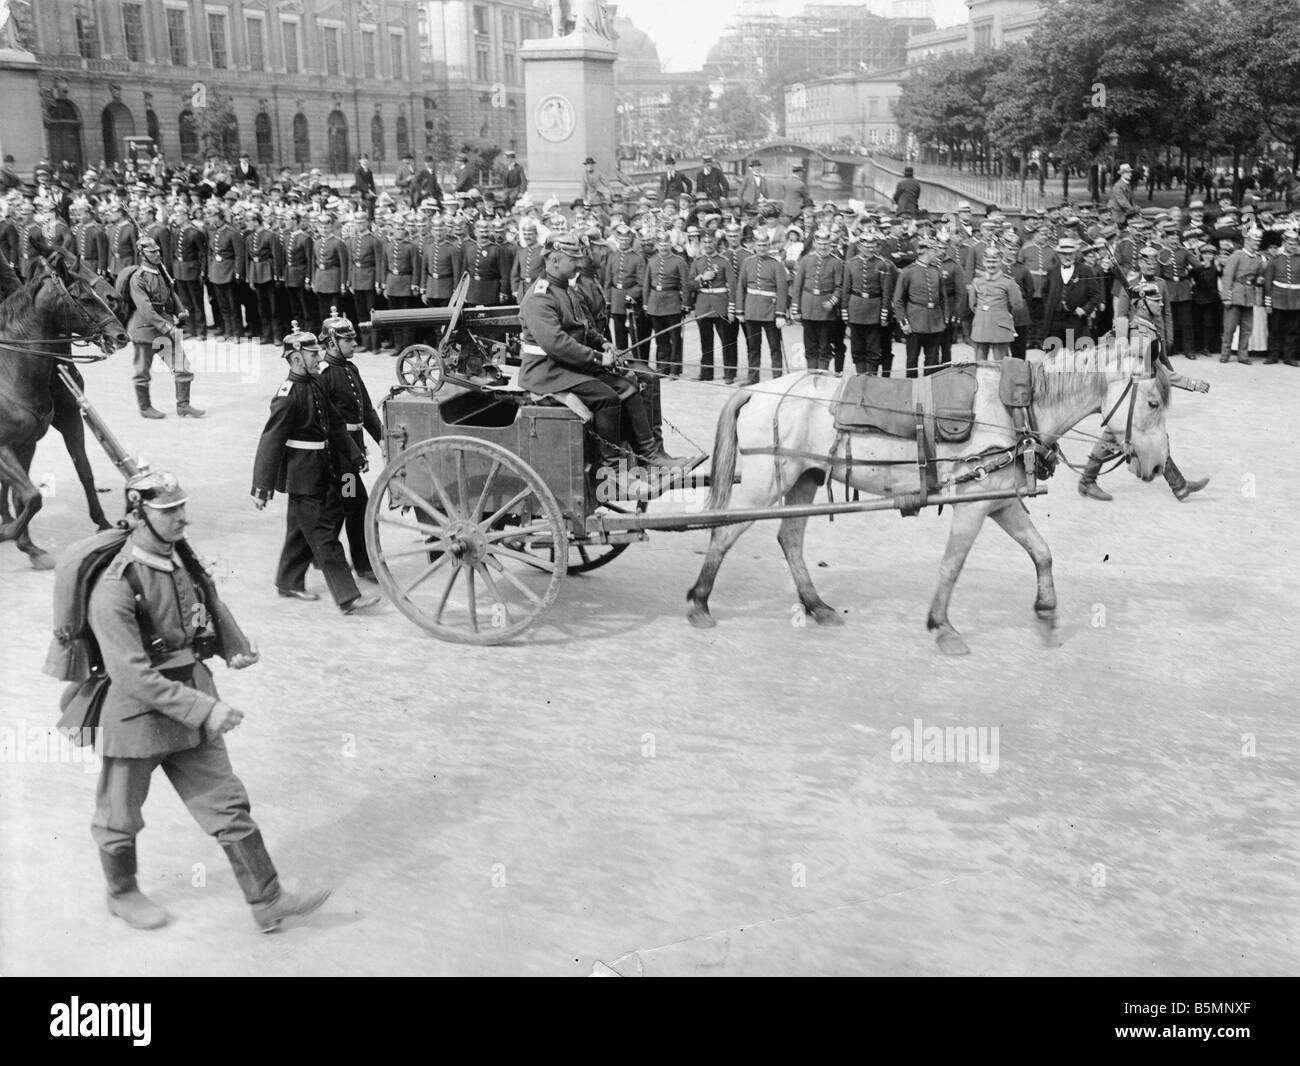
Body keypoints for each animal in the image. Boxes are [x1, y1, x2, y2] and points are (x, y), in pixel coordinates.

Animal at [0, 252, 129, 566]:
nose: (121, 335)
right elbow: (32, 496)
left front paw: (30, 547)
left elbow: (28, 496)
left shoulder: (28, 444)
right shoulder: (3, 448)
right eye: (84, 298)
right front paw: (10, 533)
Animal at [691, 358, 1180, 652]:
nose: (1158, 464)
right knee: (724, 530)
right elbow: (953, 564)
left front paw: (1046, 613)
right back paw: (698, 603)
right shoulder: (973, 505)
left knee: (790, 538)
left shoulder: (998, 501)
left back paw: (817, 606)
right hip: (765, 483)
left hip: (804, 478)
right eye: (1153, 402)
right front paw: (941, 626)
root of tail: (758, 390)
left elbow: (1041, 552)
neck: (1011, 410)